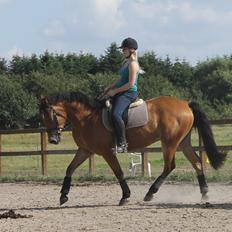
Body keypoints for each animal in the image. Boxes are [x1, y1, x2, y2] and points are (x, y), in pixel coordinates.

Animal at [39, 91, 226, 206]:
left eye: (51, 114)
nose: (53, 139)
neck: (86, 118)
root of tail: (186, 104)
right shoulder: (85, 150)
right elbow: (70, 169)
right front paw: (63, 195)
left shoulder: (106, 152)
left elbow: (119, 172)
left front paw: (125, 196)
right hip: (182, 142)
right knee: (197, 162)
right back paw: (204, 193)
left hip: (170, 142)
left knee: (169, 166)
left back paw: (150, 193)